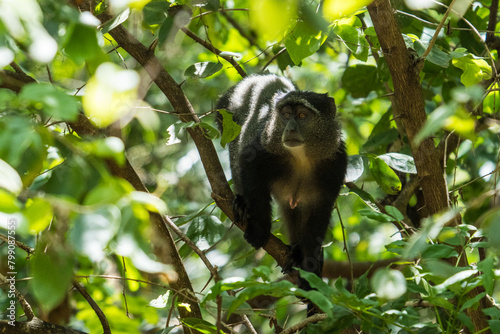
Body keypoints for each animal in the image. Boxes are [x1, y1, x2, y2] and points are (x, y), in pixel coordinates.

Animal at [215, 74, 348, 302]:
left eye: (302, 115)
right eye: (286, 115)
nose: (290, 128)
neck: (302, 156)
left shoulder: (336, 162)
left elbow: (320, 211)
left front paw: (309, 269)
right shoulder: (262, 149)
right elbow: (249, 168)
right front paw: (259, 228)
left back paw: (296, 252)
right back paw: (242, 203)